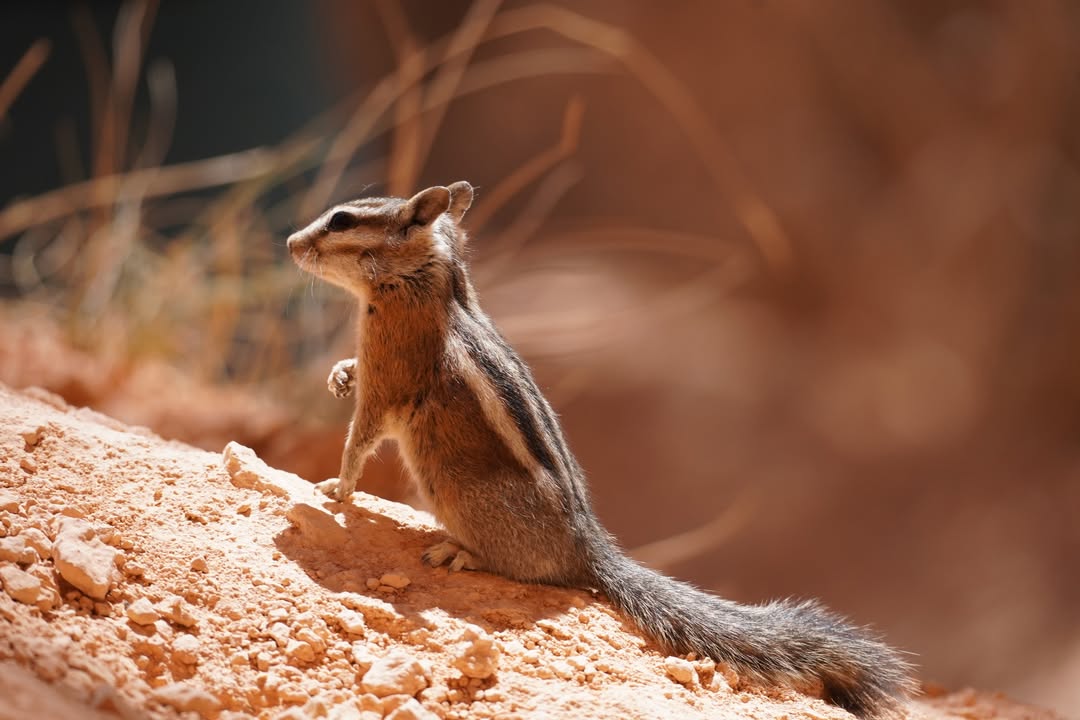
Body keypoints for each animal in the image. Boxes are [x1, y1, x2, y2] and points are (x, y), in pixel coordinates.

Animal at [287, 181, 914, 718]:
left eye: (342, 220)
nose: (292, 243)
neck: (427, 282)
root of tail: (586, 547)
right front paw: (339, 376)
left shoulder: (390, 373)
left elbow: (361, 435)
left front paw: (336, 487)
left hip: (464, 497)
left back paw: (460, 553)